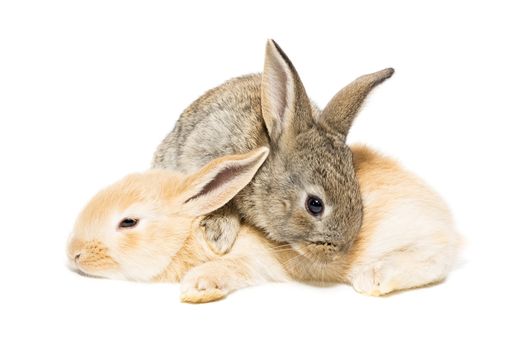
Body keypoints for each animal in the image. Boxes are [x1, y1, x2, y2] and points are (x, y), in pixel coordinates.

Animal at [67, 146, 460, 302]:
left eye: (128, 222)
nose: (73, 255)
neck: (190, 234)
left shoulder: (252, 259)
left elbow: (227, 269)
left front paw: (198, 288)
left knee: (435, 259)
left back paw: (374, 277)